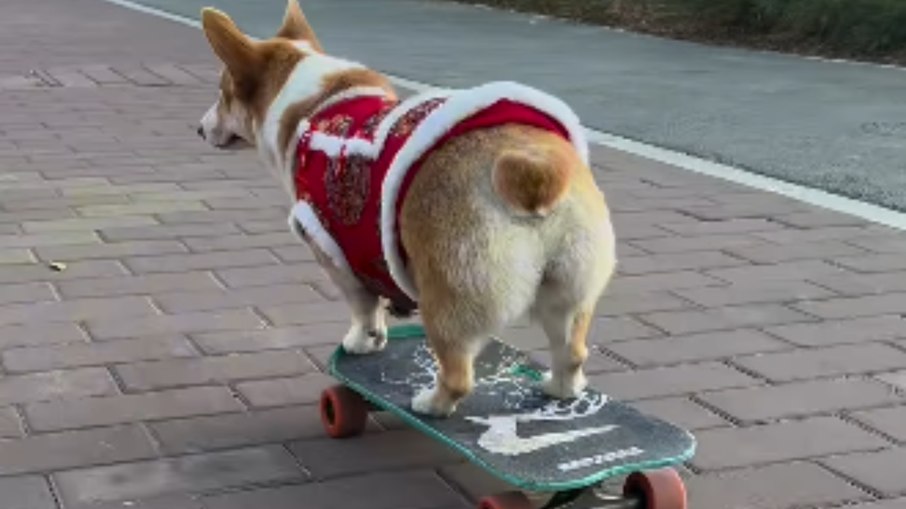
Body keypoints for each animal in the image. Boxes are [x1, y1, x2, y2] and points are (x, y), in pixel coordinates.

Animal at [196, 0, 616, 414]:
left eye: (222, 93)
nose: (199, 130)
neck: (311, 106)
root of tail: (535, 170)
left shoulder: (334, 253)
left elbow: (364, 307)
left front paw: (363, 341)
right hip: (569, 293)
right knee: (572, 353)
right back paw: (559, 389)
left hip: (446, 296)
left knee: (458, 374)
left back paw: (430, 404)